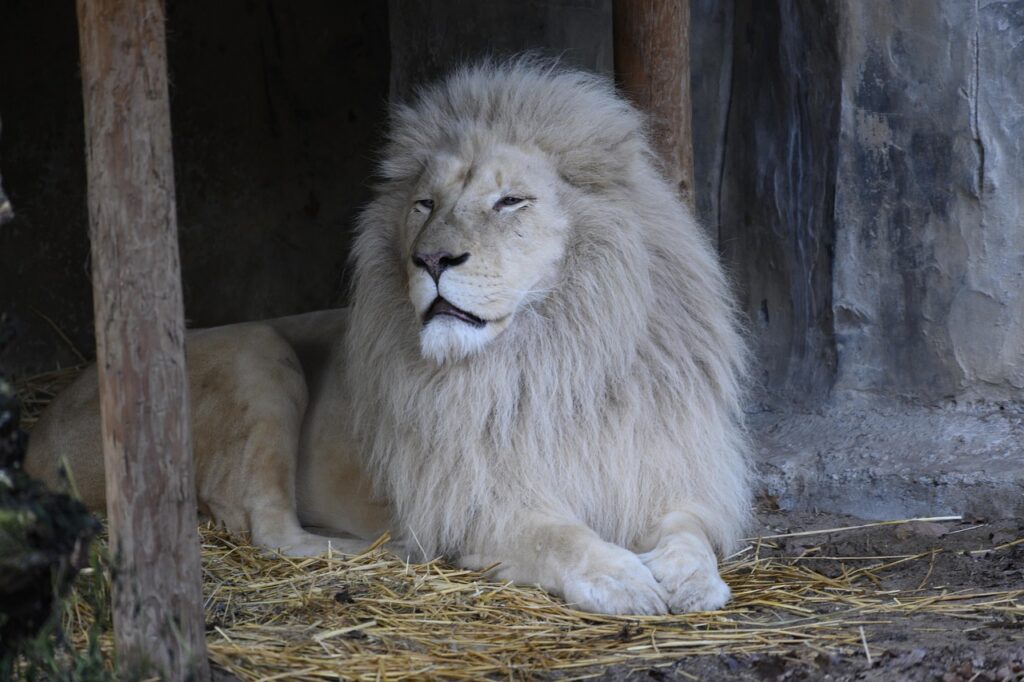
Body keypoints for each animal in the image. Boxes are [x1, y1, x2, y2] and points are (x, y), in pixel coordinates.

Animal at [26, 60, 750, 615]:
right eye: (425, 205)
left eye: (510, 202)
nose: (430, 259)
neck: (551, 355)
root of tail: (40, 426)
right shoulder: (475, 502)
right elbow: (561, 537)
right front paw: (623, 578)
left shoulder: (663, 470)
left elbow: (690, 532)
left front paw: (693, 581)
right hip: (259, 352)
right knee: (268, 527)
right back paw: (383, 551)